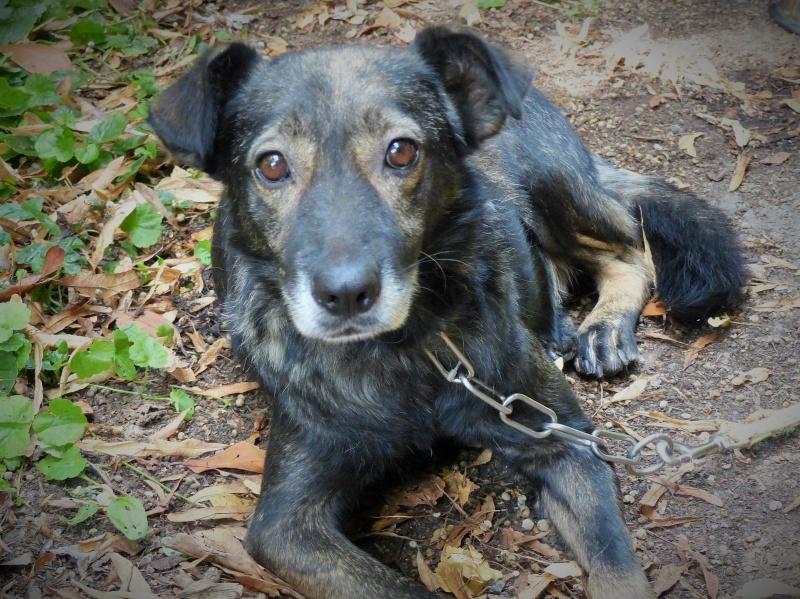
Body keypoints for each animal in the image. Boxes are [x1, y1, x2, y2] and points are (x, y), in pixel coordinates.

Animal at [147, 27, 748, 599]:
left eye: (401, 152)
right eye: (271, 165)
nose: (345, 294)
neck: (408, 351)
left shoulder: (567, 446)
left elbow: (616, 566)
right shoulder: (288, 526)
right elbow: (394, 590)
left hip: (553, 184)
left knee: (629, 247)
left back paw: (604, 329)